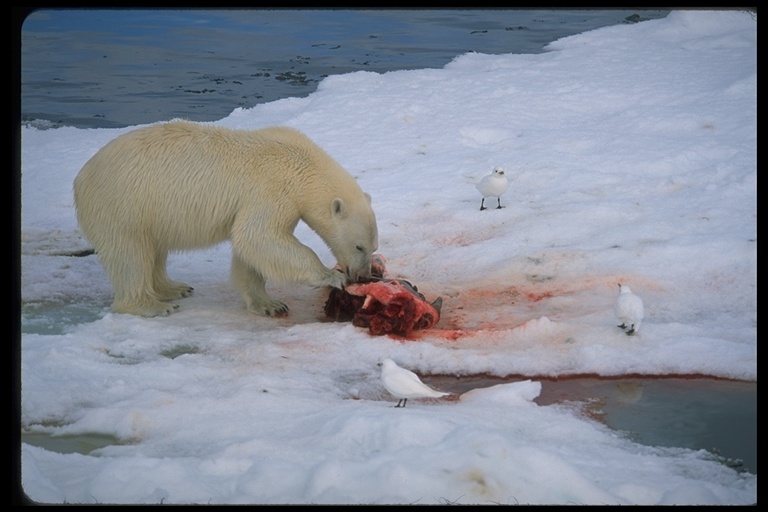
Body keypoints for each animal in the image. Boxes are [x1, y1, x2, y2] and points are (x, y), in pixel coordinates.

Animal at [72, 122, 378, 318]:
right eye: (359, 246)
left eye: (374, 248)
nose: (363, 276)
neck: (302, 163)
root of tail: (81, 176)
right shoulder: (272, 189)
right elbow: (258, 235)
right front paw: (331, 276)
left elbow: (253, 249)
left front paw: (268, 304)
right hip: (122, 204)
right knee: (130, 254)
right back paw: (152, 305)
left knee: (153, 249)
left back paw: (174, 288)